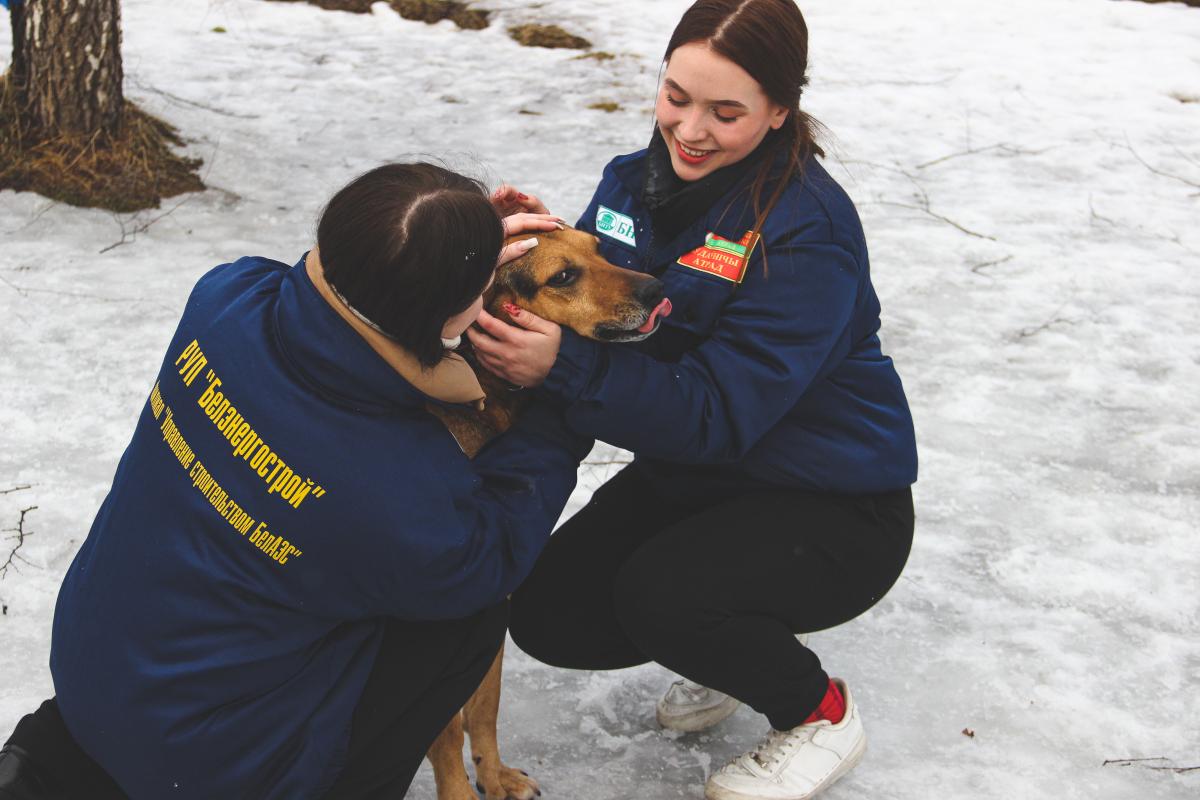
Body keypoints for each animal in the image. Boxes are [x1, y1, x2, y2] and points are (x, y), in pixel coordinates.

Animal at [424, 226, 672, 800]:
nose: (655, 289)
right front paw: (461, 790)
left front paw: (493, 776)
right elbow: (445, 733)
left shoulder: (495, 607)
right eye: (562, 276)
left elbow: (484, 708)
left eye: (600, 247)